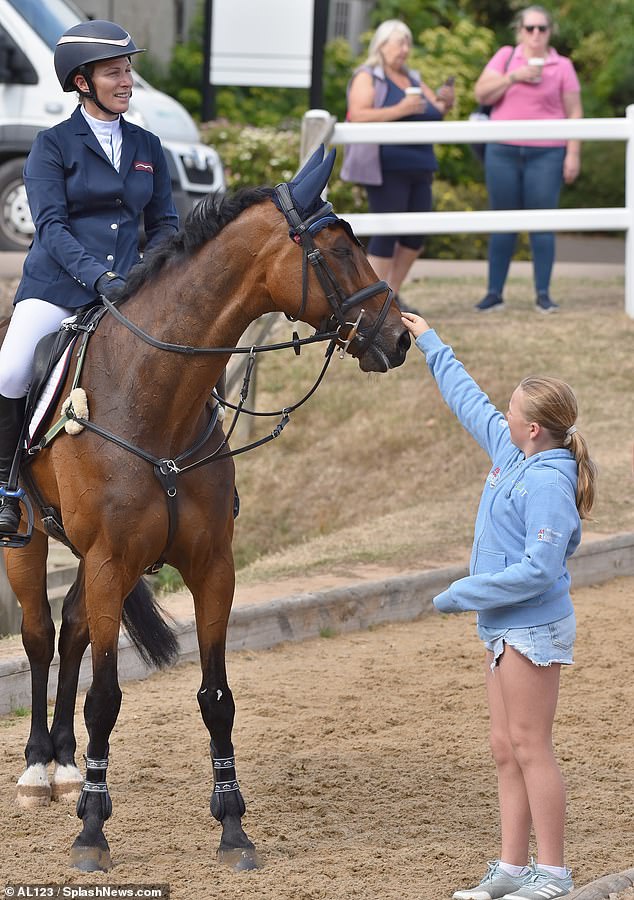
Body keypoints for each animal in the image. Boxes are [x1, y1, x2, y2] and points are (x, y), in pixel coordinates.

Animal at [2, 146, 410, 872]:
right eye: (338, 251)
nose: (398, 337)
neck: (156, 400)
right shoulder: (110, 560)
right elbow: (106, 698)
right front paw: (92, 832)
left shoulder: (209, 566)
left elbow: (217, 699)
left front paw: (233, 825)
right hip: (28, 539)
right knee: (41, 635)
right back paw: (37, 769)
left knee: (72, 628)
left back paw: (68, 765)